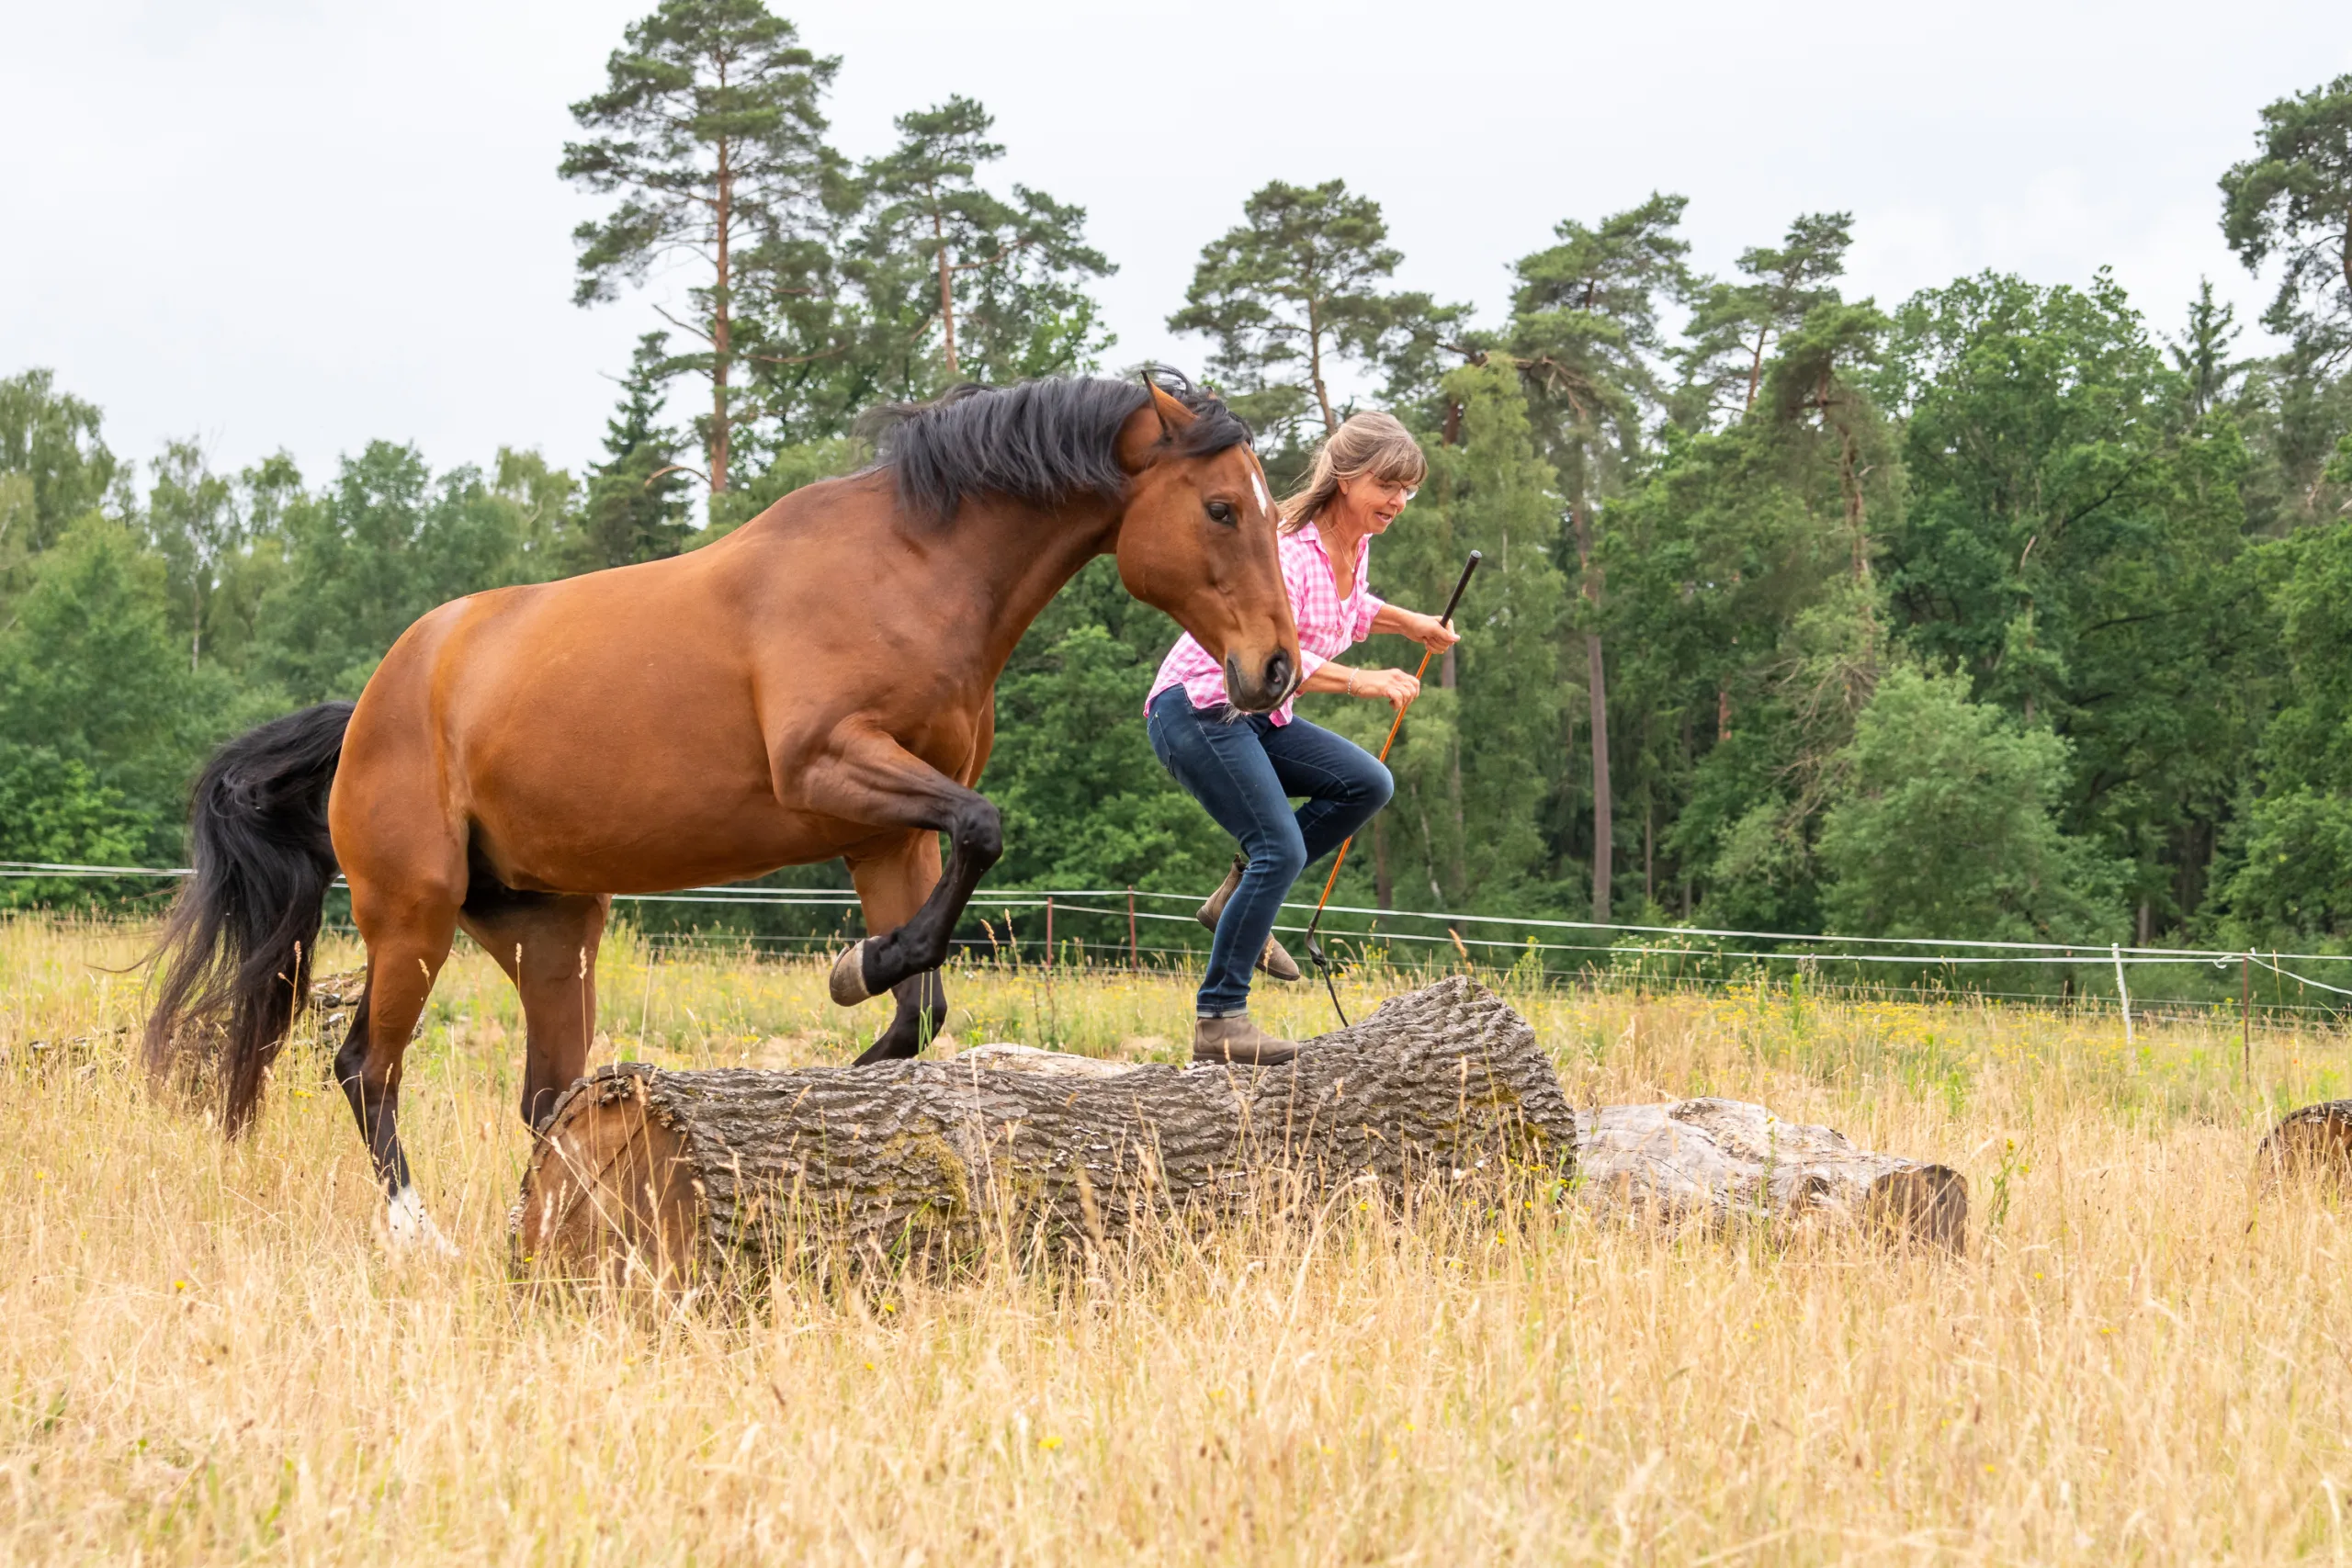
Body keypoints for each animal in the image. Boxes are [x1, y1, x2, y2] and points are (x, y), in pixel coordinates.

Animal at [141, 371, 1307, 1250]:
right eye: (1219, 508)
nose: (1273, 672)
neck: (910, 570)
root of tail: (373, 703)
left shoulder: (884, 835)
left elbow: (923, 998)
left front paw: (857, 1004)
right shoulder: (830, 769)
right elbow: (981, 834)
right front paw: (853, 973)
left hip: (549, 928)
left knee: (545, 1098)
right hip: (411, 915)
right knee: (364, 1068)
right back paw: (418, 1235)